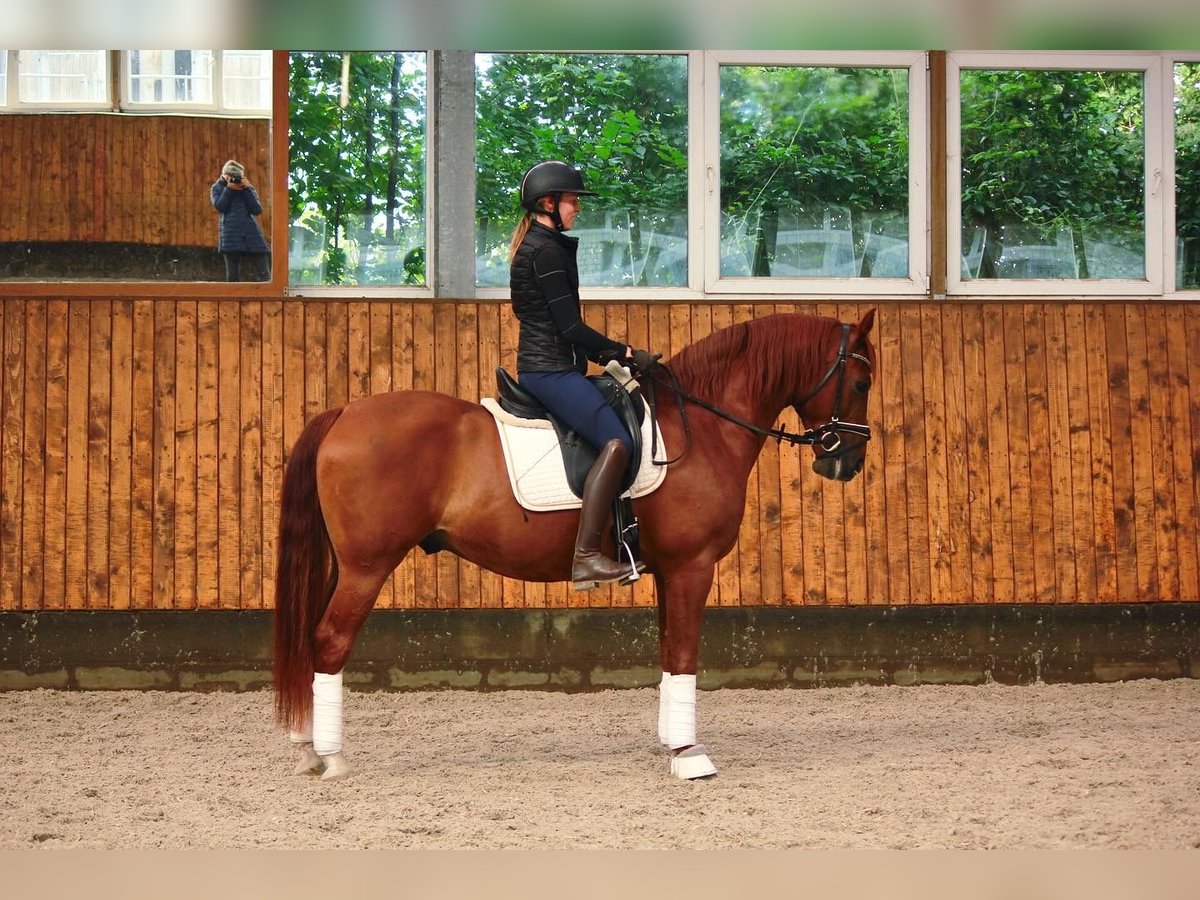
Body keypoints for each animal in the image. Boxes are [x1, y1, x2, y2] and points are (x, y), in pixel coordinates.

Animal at [274, 309, 873, 782]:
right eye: (862, 383)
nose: (845, 462)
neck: (699, 427)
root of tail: (344, 414)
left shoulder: (668, 572)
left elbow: (667, 654)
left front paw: (670, 743)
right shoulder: (691, 567)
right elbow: (684, 655)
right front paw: (689, 754)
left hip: (345, 566)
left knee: (312, 638)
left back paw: (308, 747)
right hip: (366, 567)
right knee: (329, 640)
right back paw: (332, 757)